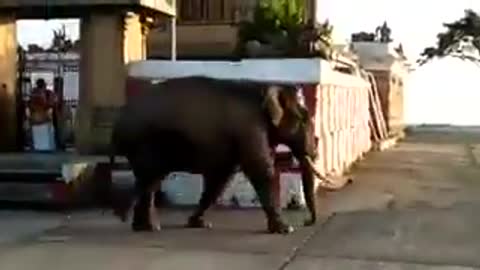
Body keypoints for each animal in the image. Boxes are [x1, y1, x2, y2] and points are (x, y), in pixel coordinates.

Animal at [109, 75, 326, 234]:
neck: (266, 86)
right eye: (303, 118)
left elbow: (221, 178)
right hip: (144, 142)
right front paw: (285, 229)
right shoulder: (250, 128)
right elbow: (261, 170)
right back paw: (143, 224)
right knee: (150, 178)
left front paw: (199, 224)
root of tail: (119, 119)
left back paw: (141, 226)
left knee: (150, 180)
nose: (306, 222)